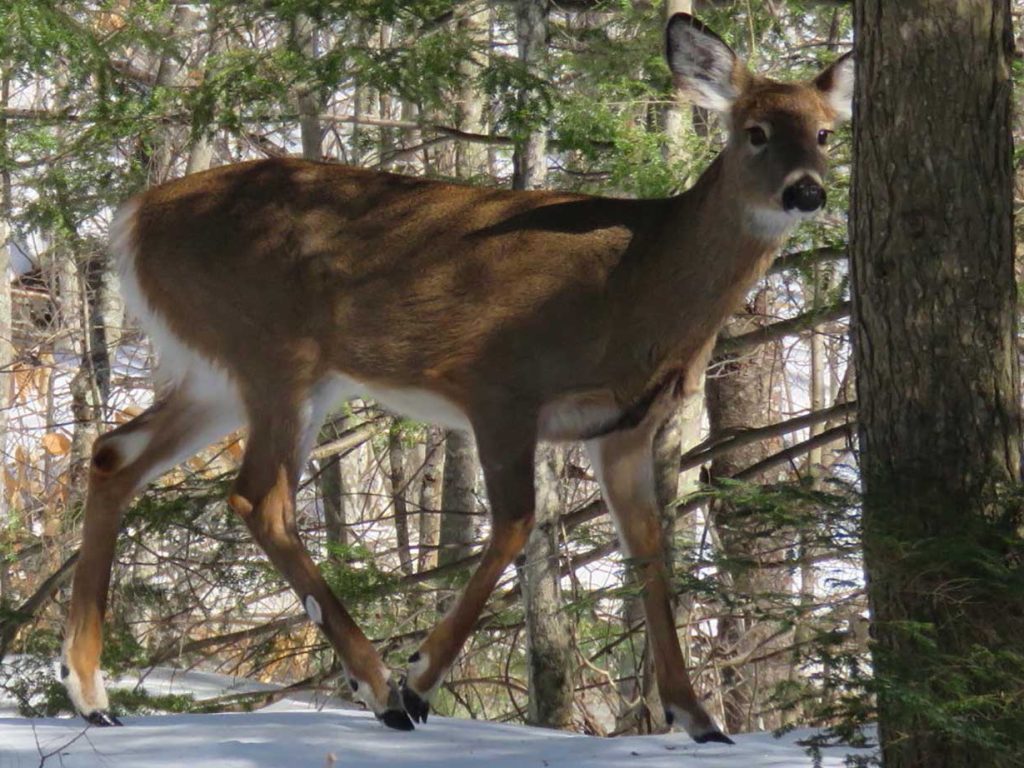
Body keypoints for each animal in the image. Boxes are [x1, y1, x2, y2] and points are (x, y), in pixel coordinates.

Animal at [59, 13, 851, 745]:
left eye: (825, 133)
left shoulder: (624, 427)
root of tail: (130, 220)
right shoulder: (501, 383)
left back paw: (91, 693)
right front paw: (419, 676)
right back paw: (379, 687)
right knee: (260, 499)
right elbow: (515, 523)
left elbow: (650, 551)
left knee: (116, 453)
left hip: (219, 371)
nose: (805, 192)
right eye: (754, 131)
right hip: (276, 356)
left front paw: (698, 716)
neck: (639, 286)